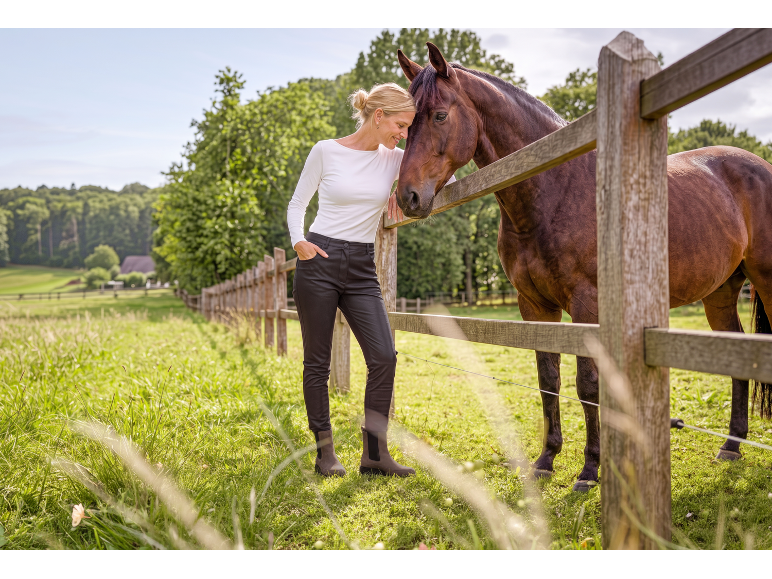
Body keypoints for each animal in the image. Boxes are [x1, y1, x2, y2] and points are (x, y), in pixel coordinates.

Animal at [395, 43, 772, 492]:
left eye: (439, 115)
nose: (407, 197)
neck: (554, 188)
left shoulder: (588, 305)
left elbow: (588, 385)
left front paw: (591, 469)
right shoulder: (534, 306)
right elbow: (548, 380)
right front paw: (546, 459)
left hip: (766, 279)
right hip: (721, 293)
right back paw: (731, 445)